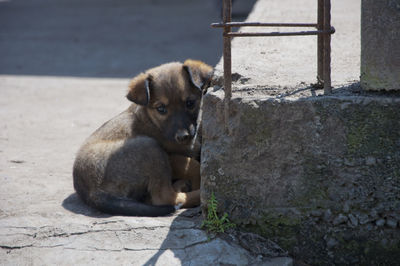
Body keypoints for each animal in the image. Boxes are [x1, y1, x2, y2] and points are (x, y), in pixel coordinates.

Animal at [73, 59, 214, 216]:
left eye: (190, 103)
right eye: (161, 109)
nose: (183, 137)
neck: (153, 122)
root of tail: (93, 193)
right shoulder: (170, 155)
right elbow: (193, 165)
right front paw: (198, 182)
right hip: (148, 146)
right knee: (164, 197)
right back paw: (201, 196)